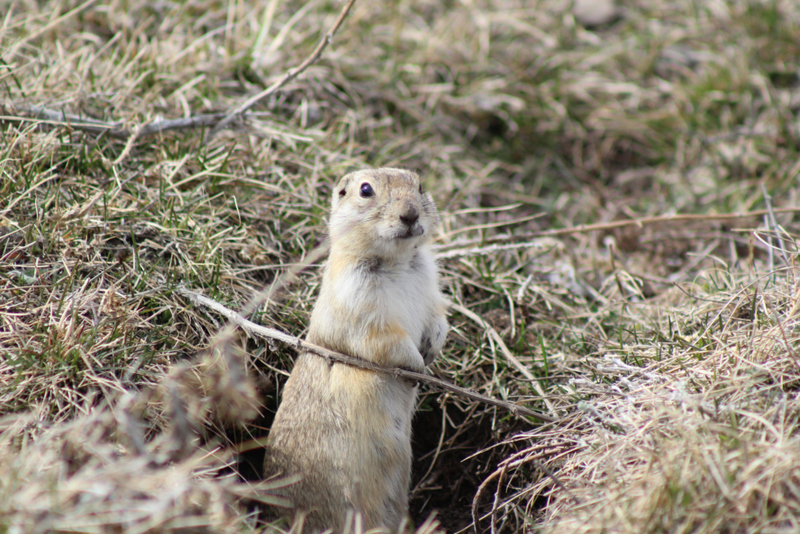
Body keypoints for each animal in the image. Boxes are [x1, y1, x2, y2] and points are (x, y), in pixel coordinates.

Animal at [264, 169, 446, 534]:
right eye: (365, 190)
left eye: (420, 186)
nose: (410, 215)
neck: (398, 261)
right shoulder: (360, 303)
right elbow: (385, 340)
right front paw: (418, 369)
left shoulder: (431, 288)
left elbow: (438, 318)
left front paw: (432, 349)